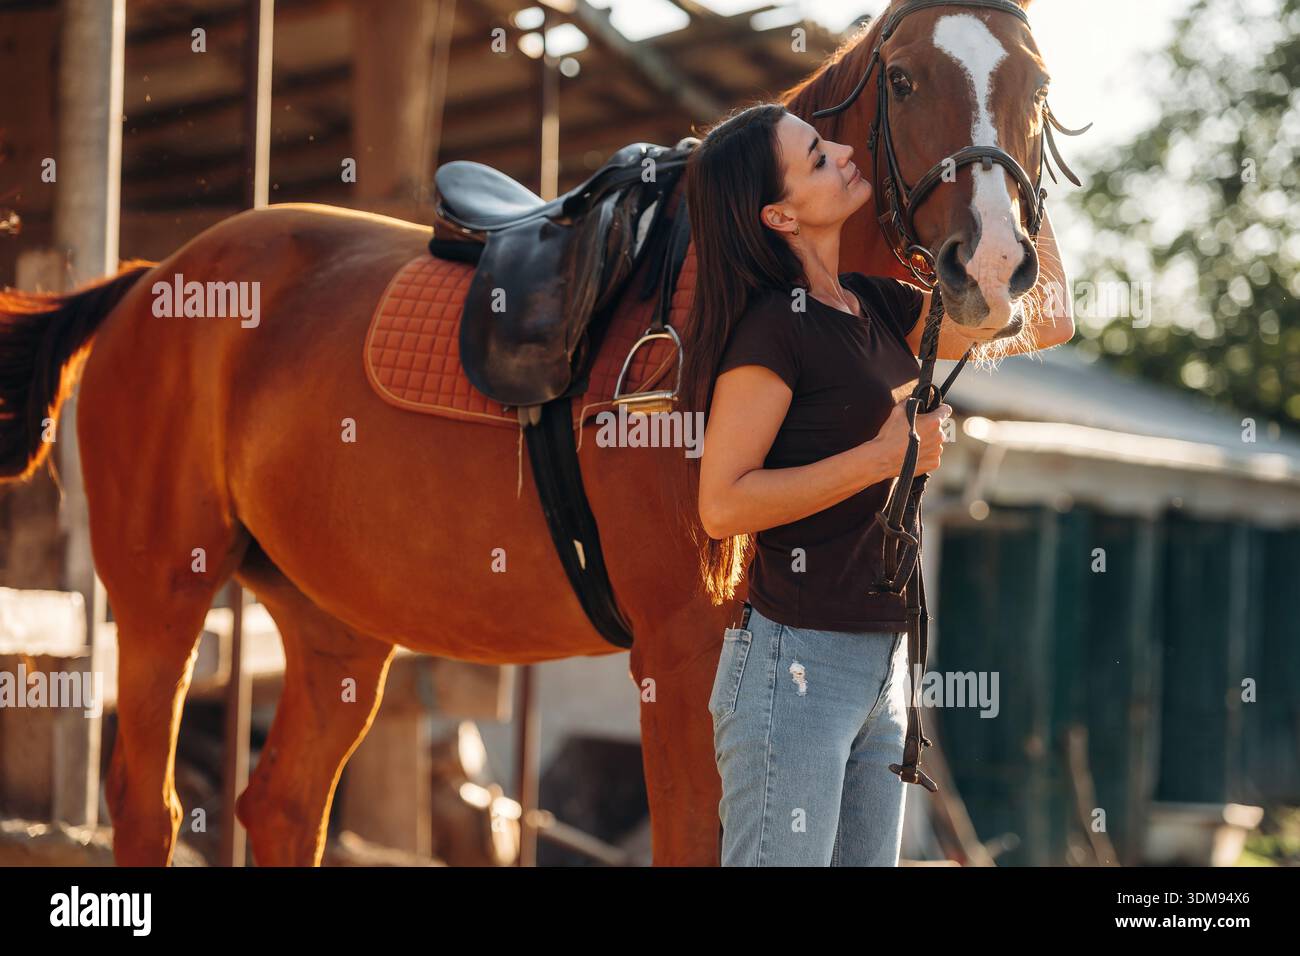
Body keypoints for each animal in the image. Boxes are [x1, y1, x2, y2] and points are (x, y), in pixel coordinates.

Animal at [0, 0, 1066, 865]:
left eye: (1039, 85)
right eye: (904, 77)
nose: (992, 266)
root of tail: (148, 279)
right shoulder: (683, 656)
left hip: (336, 630)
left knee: (282, 807)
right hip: (162, 597)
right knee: (149, 807)